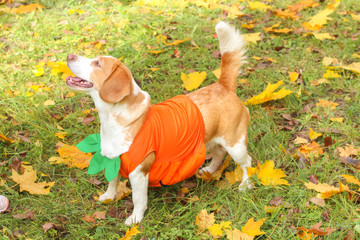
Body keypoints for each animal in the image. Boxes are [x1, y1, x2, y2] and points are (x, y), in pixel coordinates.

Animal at [66, 21, 252, 225]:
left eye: (97, 63)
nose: (68, 55)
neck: (113, 119)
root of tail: (223, 86)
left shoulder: (139, 172)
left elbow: (138, 199)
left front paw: (135, 219)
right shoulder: (112, 160)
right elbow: (112, 182)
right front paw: (109, 196)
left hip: (236, 145)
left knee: (247, 162)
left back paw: (246, 184)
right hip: (211, 141)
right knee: (218, 155)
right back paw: (209, 170)